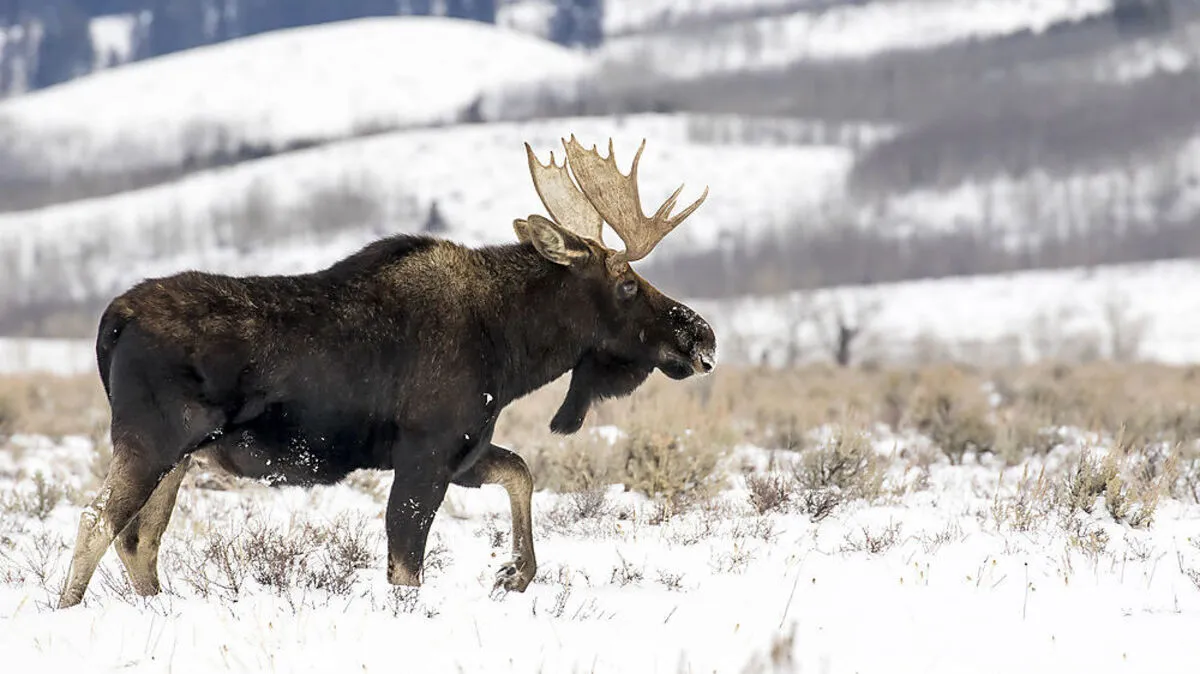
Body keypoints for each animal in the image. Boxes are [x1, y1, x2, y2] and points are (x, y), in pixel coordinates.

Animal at [57, 135, 717, 608]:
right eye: (627, 283)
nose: (702, 335)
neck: (513, 347)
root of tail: (114, 318)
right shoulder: (428, 451)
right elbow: (406, 567)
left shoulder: (464, 451)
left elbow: (521, 473)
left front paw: (513, 573)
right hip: (153, 440)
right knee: (96, 523)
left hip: (181, 454)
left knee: (139, 540)